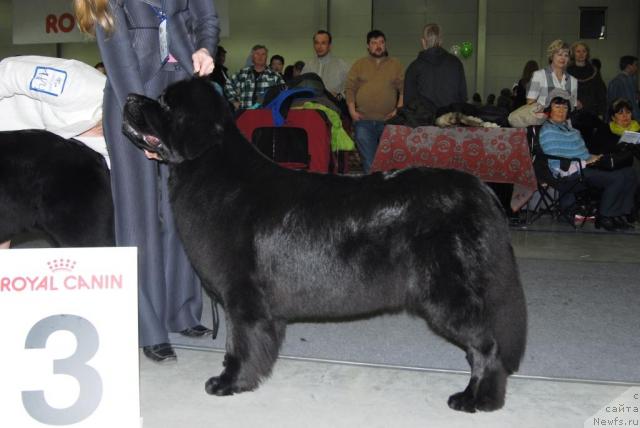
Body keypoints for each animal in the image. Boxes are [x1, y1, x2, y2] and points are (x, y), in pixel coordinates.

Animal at [122, 77, 528, 412]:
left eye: (165, 103)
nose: (128, 97)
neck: (211, 169)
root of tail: (479, 189)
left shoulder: (243, 295)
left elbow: (239, 344)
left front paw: (228, 383)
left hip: (447, 292)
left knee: (486, 346)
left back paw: (477, 400)